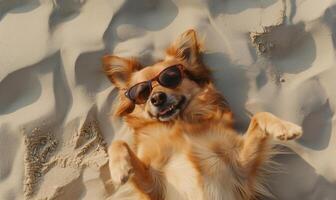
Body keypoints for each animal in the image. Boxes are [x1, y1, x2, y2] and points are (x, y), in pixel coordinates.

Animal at [102, 29, 302, 200]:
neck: (180, 123)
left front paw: (285, 127)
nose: (157, 97)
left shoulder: (240, 167)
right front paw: (119, 168)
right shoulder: (153, 186)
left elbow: (259, 115)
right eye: (142, 92)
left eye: (170, 77)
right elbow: (118, 143)